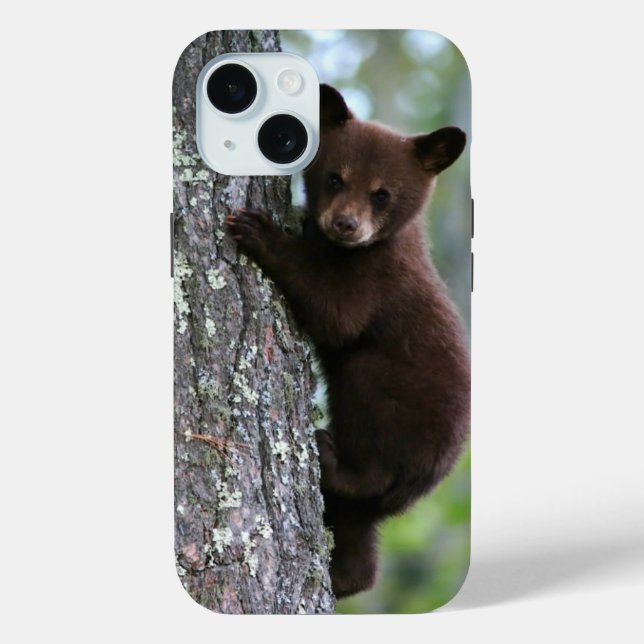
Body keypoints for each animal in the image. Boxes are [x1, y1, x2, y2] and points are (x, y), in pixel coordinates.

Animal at [226, 84, 470, 599]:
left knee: (368, 431)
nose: (345, 224)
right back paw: (345, 577)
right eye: (335, 178)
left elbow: (337, 315)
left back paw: (331, 455)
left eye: (382, 194)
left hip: (394, 406)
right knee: (358, 542)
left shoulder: (377, 278)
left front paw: (261, 231)